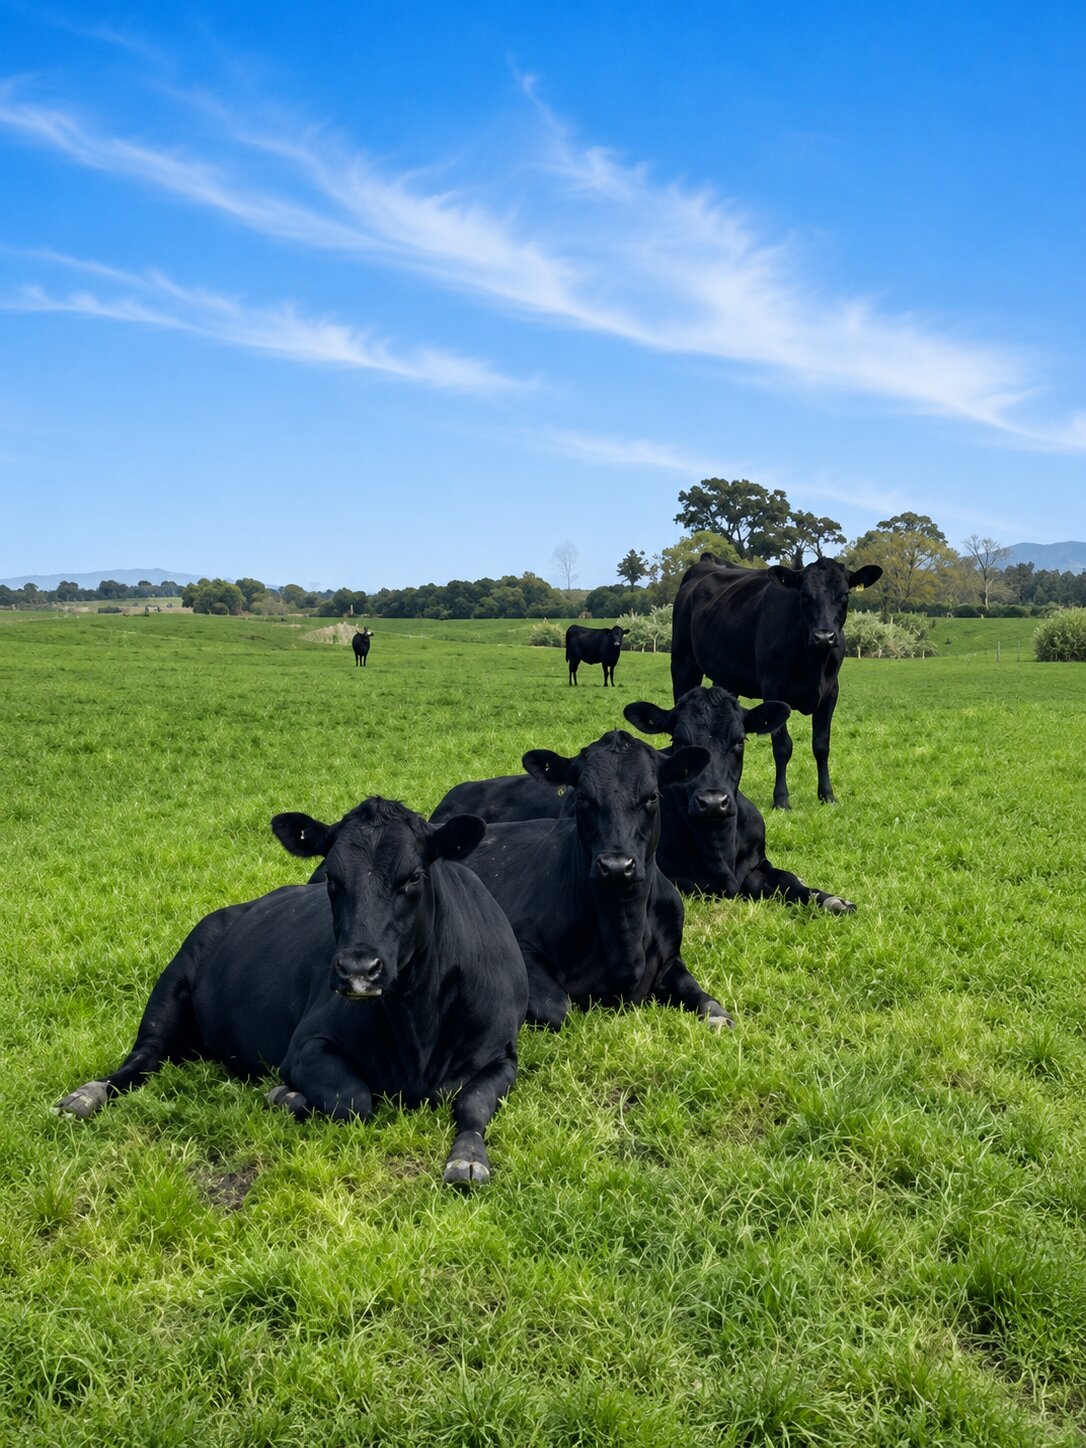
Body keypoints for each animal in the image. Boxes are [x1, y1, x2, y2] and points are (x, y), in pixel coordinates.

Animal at [54, 798, 528, 1188]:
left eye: (413, 877)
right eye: (332, 879)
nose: (358, 971)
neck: (418, 1031)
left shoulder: (502, 1055)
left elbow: (472, 1105)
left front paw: (468, 1158)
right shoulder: (305, 1045)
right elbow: (352, 1101)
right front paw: (285, 1095)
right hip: (173, 981)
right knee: (144, 1057)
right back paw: (86, 1096)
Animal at [432, 688, 855, 911]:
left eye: (740, 740)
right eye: (679, 740)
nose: (713, 801)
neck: (719, 846)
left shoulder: (757, 863)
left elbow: (791, 880)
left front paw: (833, 899)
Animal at [439, 729, 732, 1032]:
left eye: (652, 797)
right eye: (582, 796)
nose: (616, 866)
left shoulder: (671, 958)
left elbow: (707, 1001)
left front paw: (718, 1016)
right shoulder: (521, 947)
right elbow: (558, 1008)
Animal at [671, 556, 882, 807]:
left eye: (844, 595)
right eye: (804, 595)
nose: (824, 637)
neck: (813, 662)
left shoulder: (831, 691)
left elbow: (822, 745)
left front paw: (827, 795)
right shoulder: (774, 689)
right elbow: (783, 747)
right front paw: (781, 799)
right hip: (683, 665)